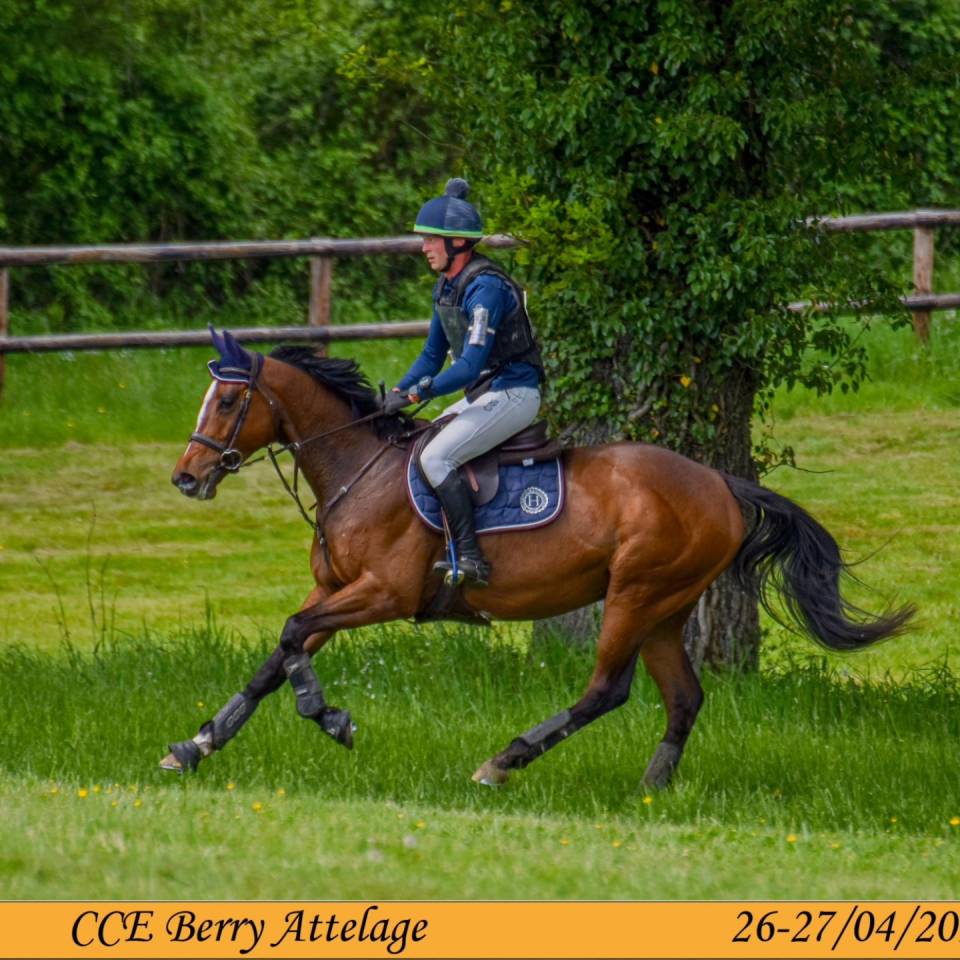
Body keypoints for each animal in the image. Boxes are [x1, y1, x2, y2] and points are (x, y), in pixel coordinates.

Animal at [160, 328, 914, 788]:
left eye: (228, 399)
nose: (186, 478)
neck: (358, 470)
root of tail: (721, 484)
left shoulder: (383, 593)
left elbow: (291, 639)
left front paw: (330, 718)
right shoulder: (337, 591)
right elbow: (278, 656)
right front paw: (196, 746)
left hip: (635, 593)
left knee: (607, 689)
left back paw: (503, 761)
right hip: (666, 608)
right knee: (683, 698)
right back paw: (652, 789)